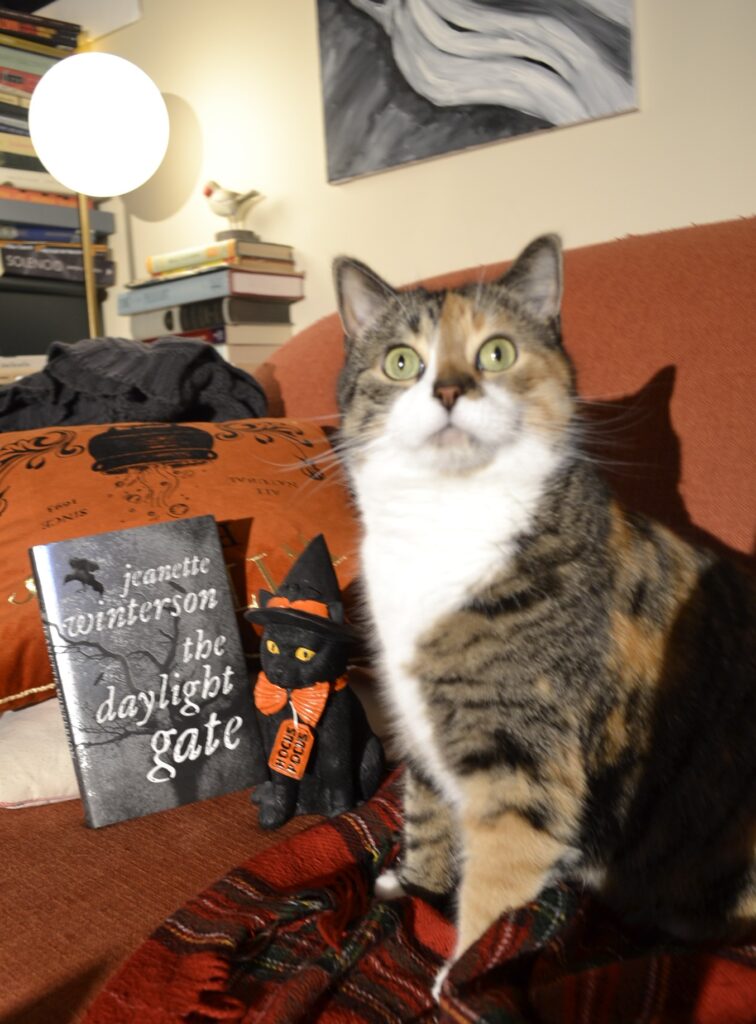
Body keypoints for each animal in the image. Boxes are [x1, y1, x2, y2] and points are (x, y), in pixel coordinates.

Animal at [333, 237, 753, 991]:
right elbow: (427, 813)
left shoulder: (523, 756)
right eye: (402, 361)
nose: (448, 390)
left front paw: (456, 980)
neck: (447, 525)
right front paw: (415, 889)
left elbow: (498, 887)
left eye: (496, 352)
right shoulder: (417, 723)